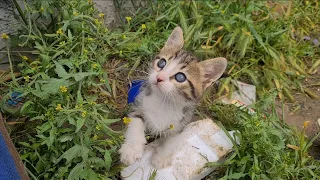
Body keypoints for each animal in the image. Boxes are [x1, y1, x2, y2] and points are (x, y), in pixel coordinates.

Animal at [120, 26, 228, 169]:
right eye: (161, 63)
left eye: (180, 77)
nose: (159, 78)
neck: (164, 101)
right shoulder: (138, 103)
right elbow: (135, 122)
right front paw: (131, 149)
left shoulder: (183, 121)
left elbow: (173, 140)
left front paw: (162, 157)